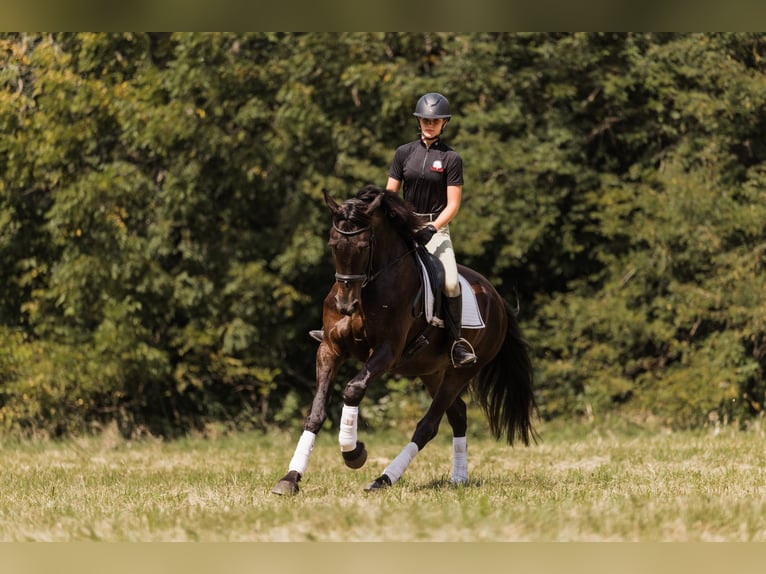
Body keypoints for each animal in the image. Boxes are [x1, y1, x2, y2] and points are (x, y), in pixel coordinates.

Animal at [272, 184, 537, 495]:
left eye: (364, 247)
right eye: (333, 244)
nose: (345, 305)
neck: (369, 287)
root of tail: (496, 298)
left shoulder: (387, 351)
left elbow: (353, 389)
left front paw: (354, 452)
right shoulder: (330, 349)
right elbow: (315, 413)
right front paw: (290, 478)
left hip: (463, 370)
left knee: (429, 425)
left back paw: (384, 479)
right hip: (432, 371)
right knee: (457, 414)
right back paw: (458, 478)